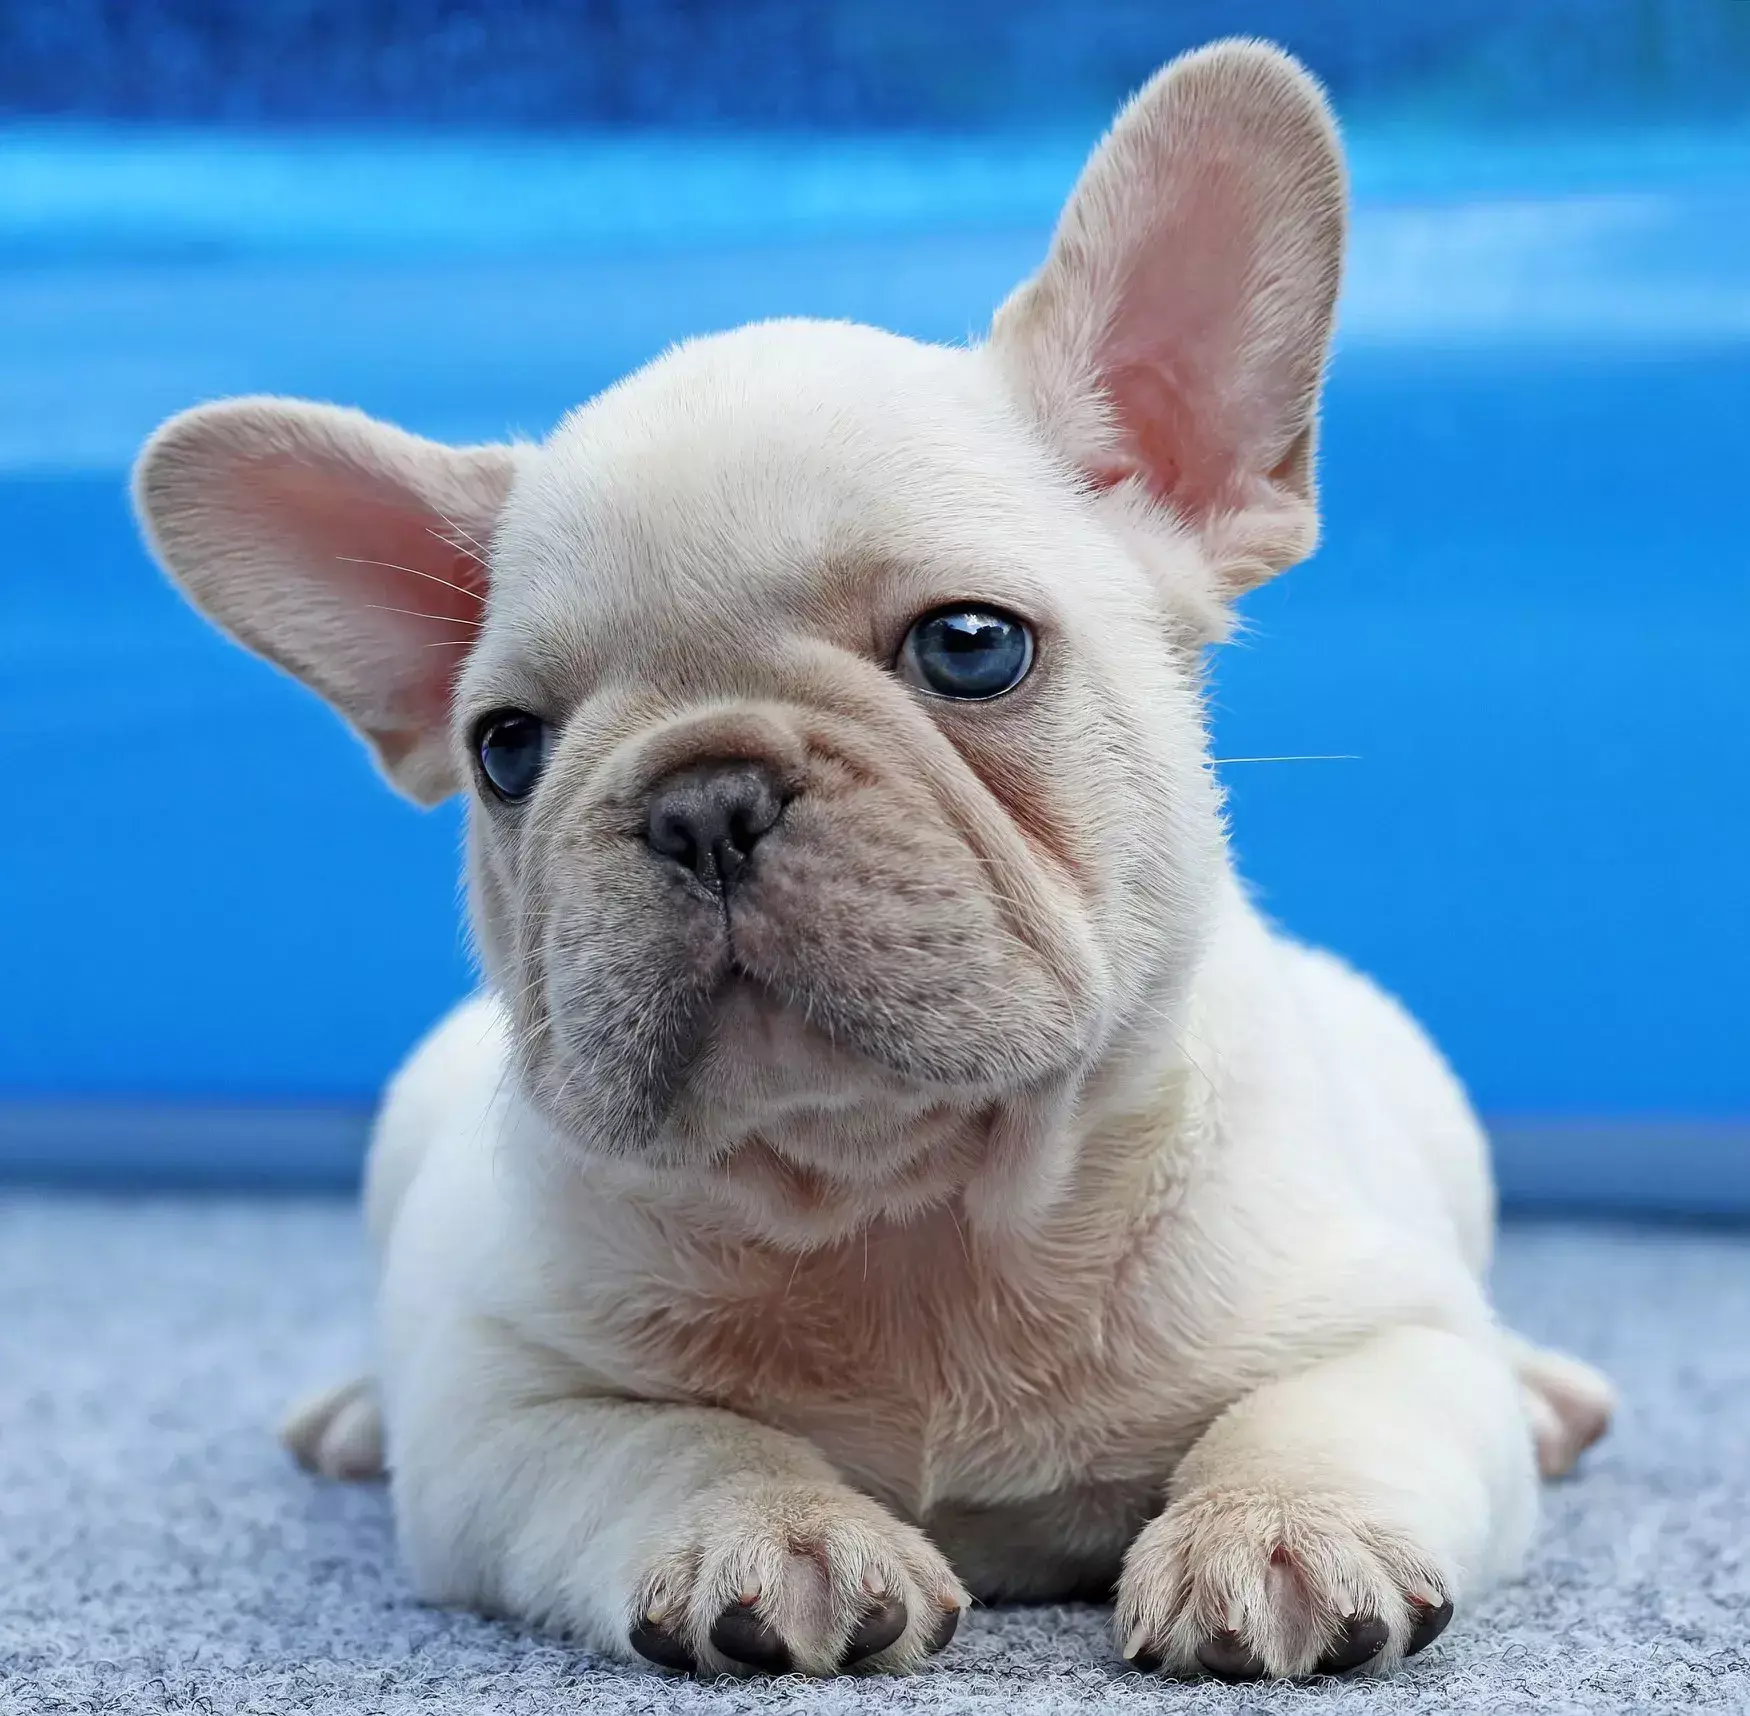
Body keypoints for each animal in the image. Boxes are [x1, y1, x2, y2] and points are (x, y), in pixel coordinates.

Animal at [133, 39, 1614, 1681]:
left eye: (971, 647)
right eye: (506, 750)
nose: (703, 797)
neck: (910, 1220)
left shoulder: (1382, 1328)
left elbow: (1322, 1407)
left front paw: (1281, 1529)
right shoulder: (500, 1416)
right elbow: (661, 1442)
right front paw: (772, 1531)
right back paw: (350, 1411)